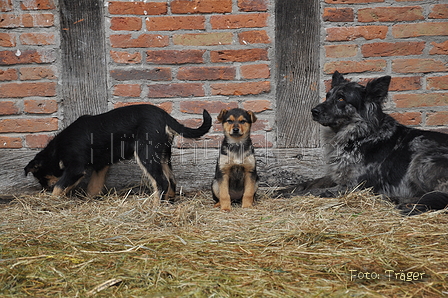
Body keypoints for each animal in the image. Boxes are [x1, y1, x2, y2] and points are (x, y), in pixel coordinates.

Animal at [24, 103, 212, 199]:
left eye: (41, 178)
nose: (43, 189)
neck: (57, 150)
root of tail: (165, 116)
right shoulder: (101, 165)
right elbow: (93, 187)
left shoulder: (75, 168)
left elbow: (59, 187)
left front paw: (50, 202)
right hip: (163, 156)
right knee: (171, 181)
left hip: (145, 154)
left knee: (161, 182)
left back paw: (152, 207)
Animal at [278, 72, 448, 215]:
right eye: (327, 96)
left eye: (341, 99)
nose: (314, 111)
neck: (359, 136)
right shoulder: (339, 176)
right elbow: (309, 182)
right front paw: (283, 190)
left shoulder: (353, 186)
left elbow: (313, 191)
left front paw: (293, 195)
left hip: (422, 159)